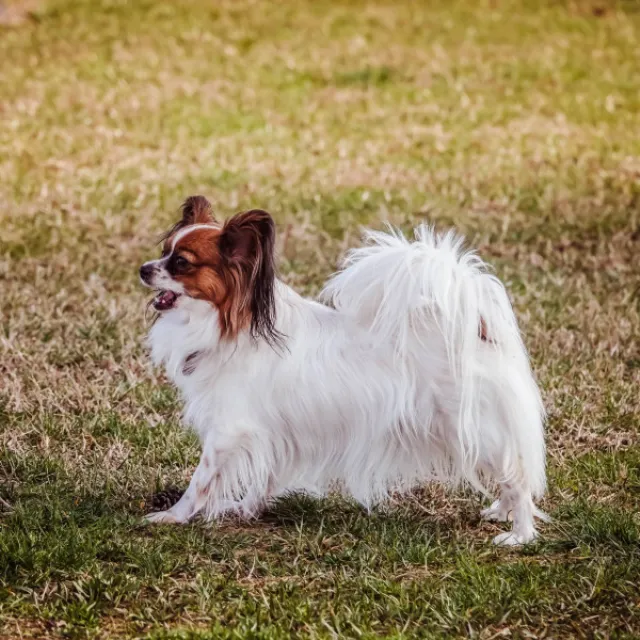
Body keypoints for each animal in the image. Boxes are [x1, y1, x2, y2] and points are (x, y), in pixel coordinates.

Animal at [139, 196, 544, 544]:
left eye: (181, 263)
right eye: (163, 251)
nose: (143, 269)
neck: (229, 324)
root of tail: (477, 329)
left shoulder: (227, 430)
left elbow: (200, 481)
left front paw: (173, 516)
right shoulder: (273, 432)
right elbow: (264, 476)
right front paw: (246, 510)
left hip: (477, 429)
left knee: (518, 477)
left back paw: (519, 535)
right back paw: (500, 511)